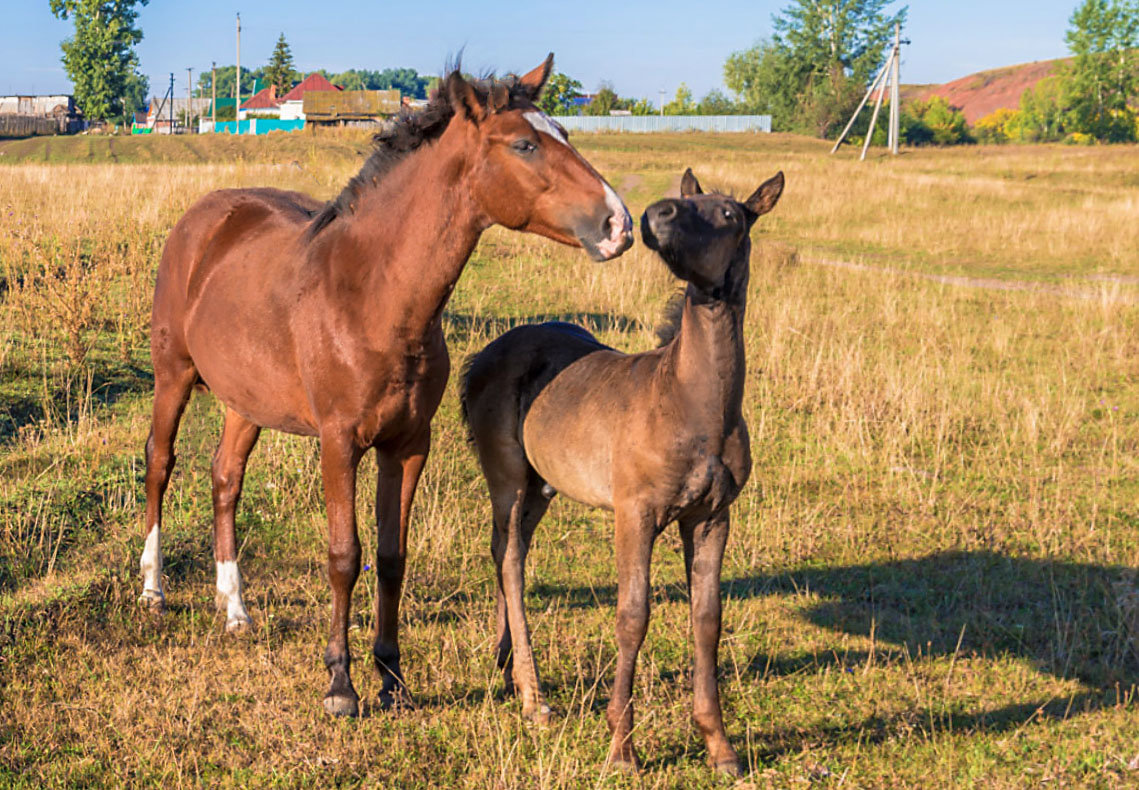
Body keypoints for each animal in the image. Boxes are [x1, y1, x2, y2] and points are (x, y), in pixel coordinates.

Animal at [138, 58, 637, 719]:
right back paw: (153, 588)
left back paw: (235, 606)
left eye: (564, 132)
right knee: (160, 463)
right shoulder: (339, 443)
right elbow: (345, 556)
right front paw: (340, 684)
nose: (618, 224)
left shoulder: (407, 444)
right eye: (525, 145)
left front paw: (392, 676)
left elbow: (392, 557)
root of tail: (205, 217)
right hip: (172, 374)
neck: (372, 295)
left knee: (226, 479)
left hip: (246, 401)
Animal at [462, 170, 783, 778]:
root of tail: (482, 357)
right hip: (508, 477)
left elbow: (707, 617)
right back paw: (533, 697)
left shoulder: (711, 517)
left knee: (506, 552)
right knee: (510, 560)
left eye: (730, 213)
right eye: (689, 201)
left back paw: (506, 665)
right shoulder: (636, 513)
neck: (692, 404)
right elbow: (633, 614)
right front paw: (621, 748)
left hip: (542, 486)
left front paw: (720, 747)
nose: (659, 214)